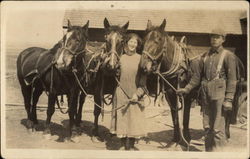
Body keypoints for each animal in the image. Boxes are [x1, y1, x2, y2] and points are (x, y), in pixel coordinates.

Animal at [139, 19, 201, 148]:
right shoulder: (170, 95)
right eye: (144, 40)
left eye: (158, 40)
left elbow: (185, 119)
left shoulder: (187, 97)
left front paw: (186, 140)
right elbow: (174, 117)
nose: (143, 66)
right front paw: (175, 140)